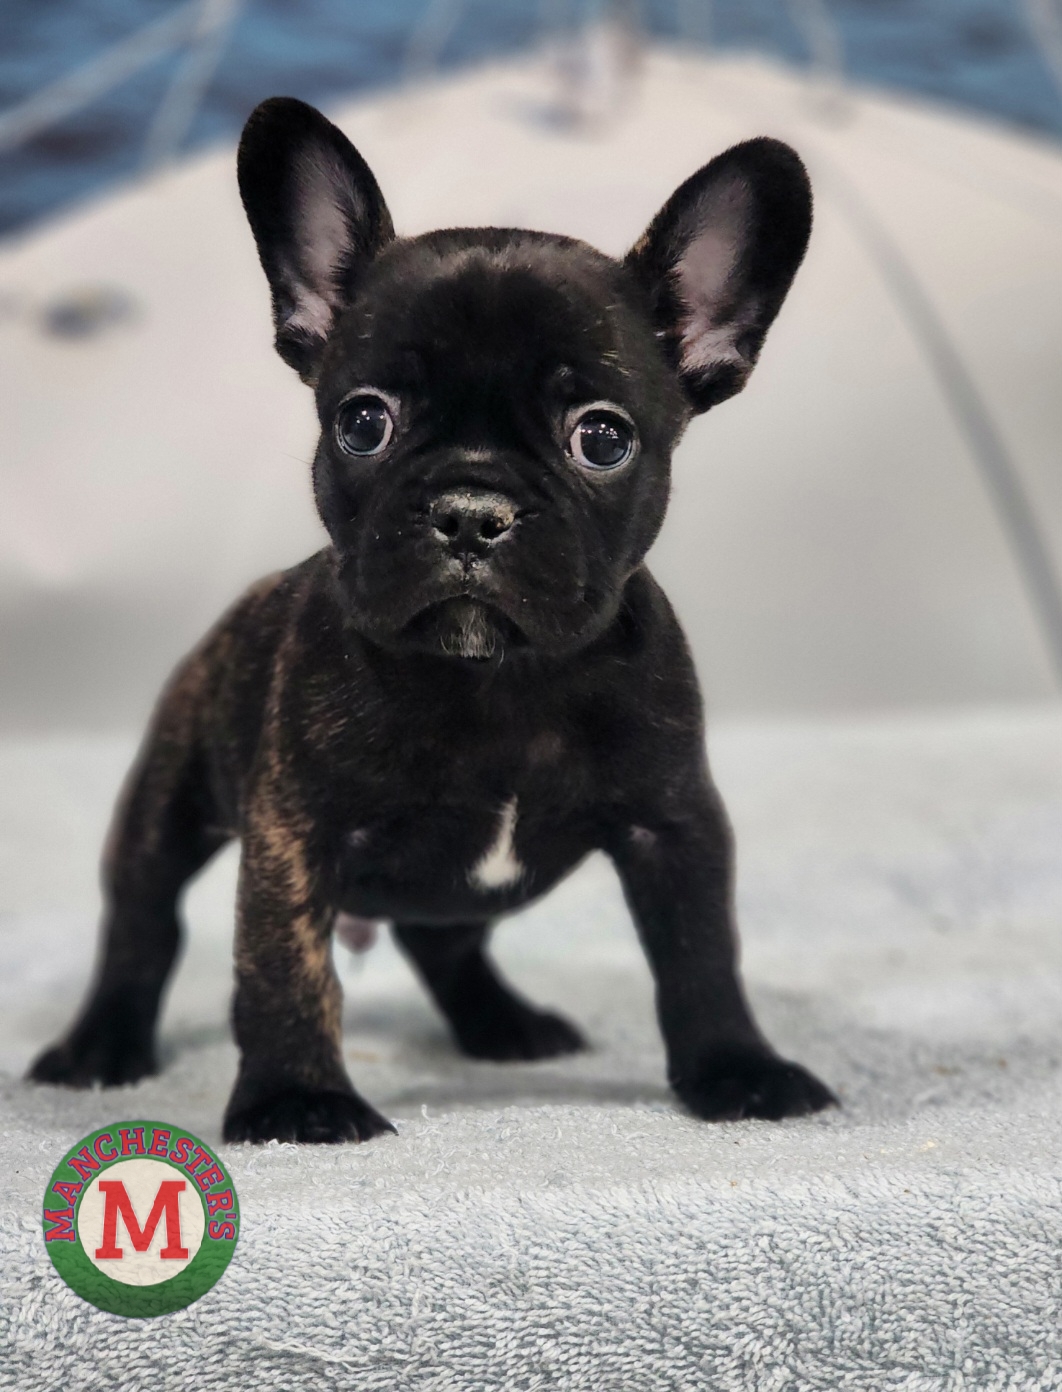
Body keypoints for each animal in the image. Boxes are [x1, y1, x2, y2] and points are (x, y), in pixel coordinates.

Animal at [29, 97, 838, 1143]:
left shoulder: (677, 825)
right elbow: (283, 968)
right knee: (142, 923)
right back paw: (100, 1049)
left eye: (603, 437)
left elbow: (702, 957)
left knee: (442, 940)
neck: (500, 680)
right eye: (363, 421)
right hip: (168, 796)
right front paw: (299, 1099)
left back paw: (504, 1024)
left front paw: (739, 1070)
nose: (470, 509)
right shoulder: (296, 830)